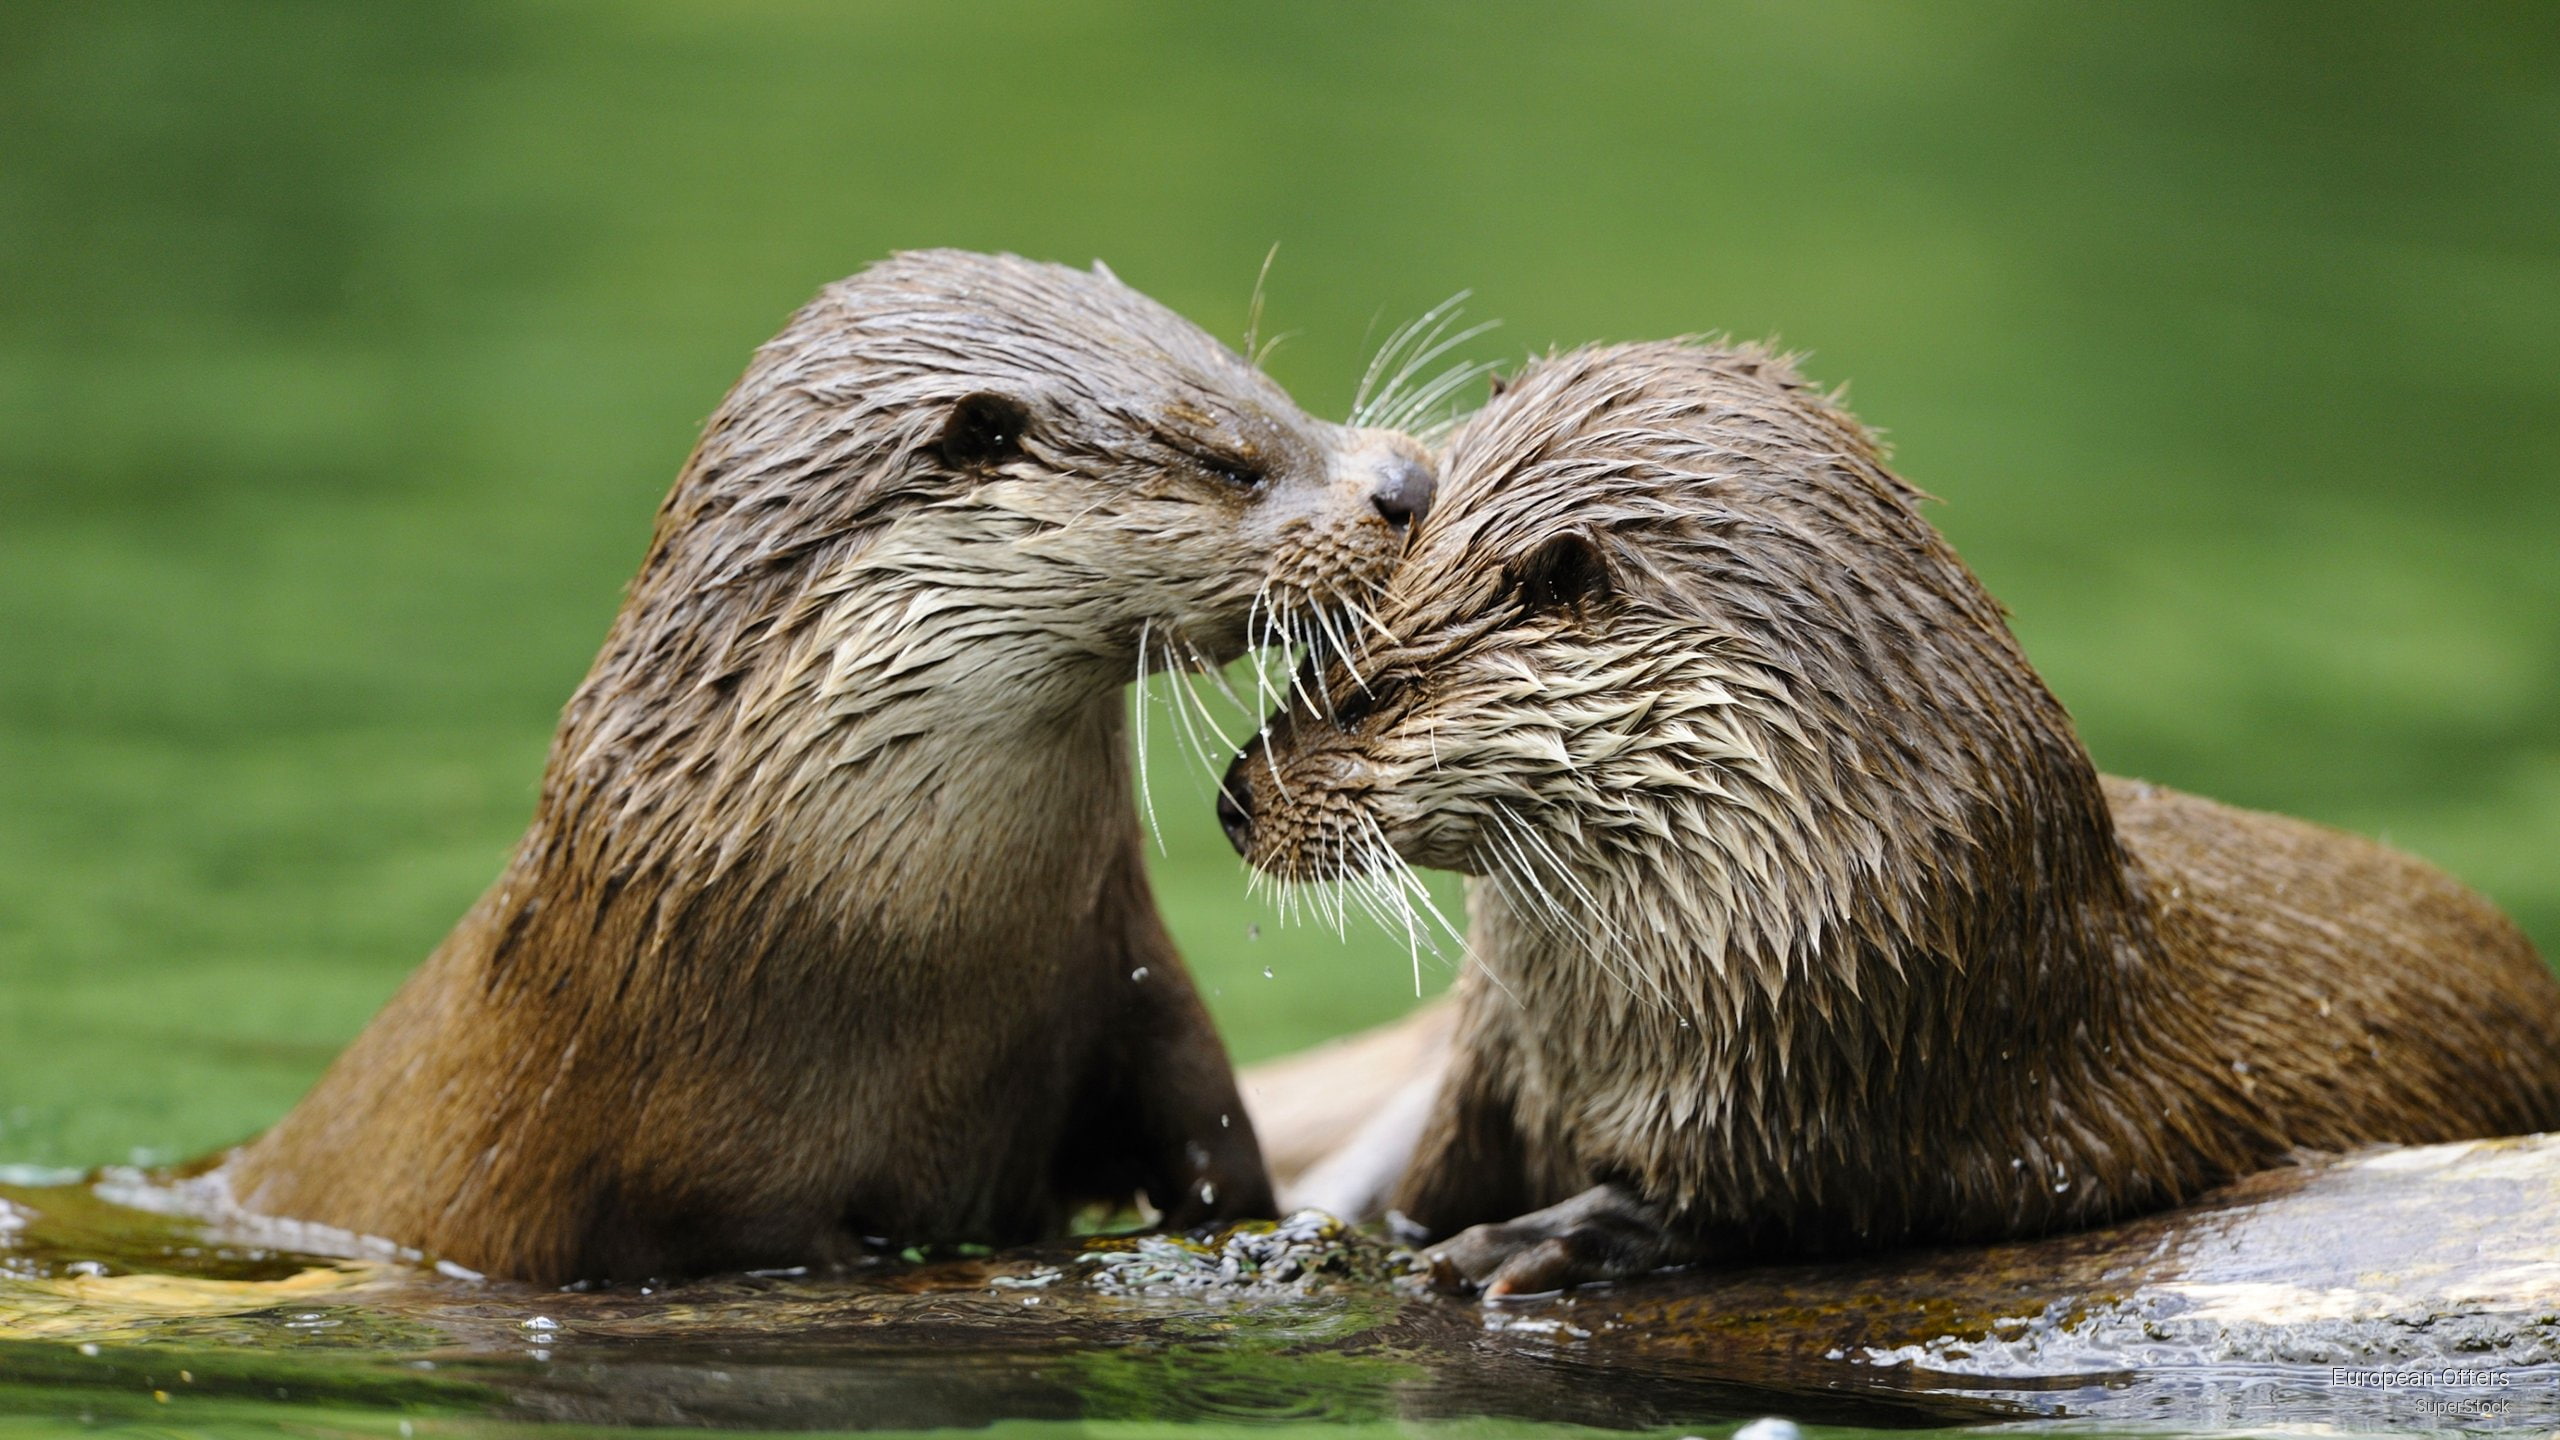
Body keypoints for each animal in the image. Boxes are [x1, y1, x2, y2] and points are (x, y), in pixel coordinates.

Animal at [222, 250, 1437, 1284]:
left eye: (1278, 389)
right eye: (1230, 461)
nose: (1409, 483)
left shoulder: (1120, 956)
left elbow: (1204, 1111)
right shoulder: (694, 1152)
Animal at [1219, 340, 2560, 1296]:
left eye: (1373, 691)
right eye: (1305, 650)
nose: (1234, 801)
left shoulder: (1869, 1058)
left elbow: (1774, 1206)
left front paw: (1548, 1236)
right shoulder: (1490, 1060)